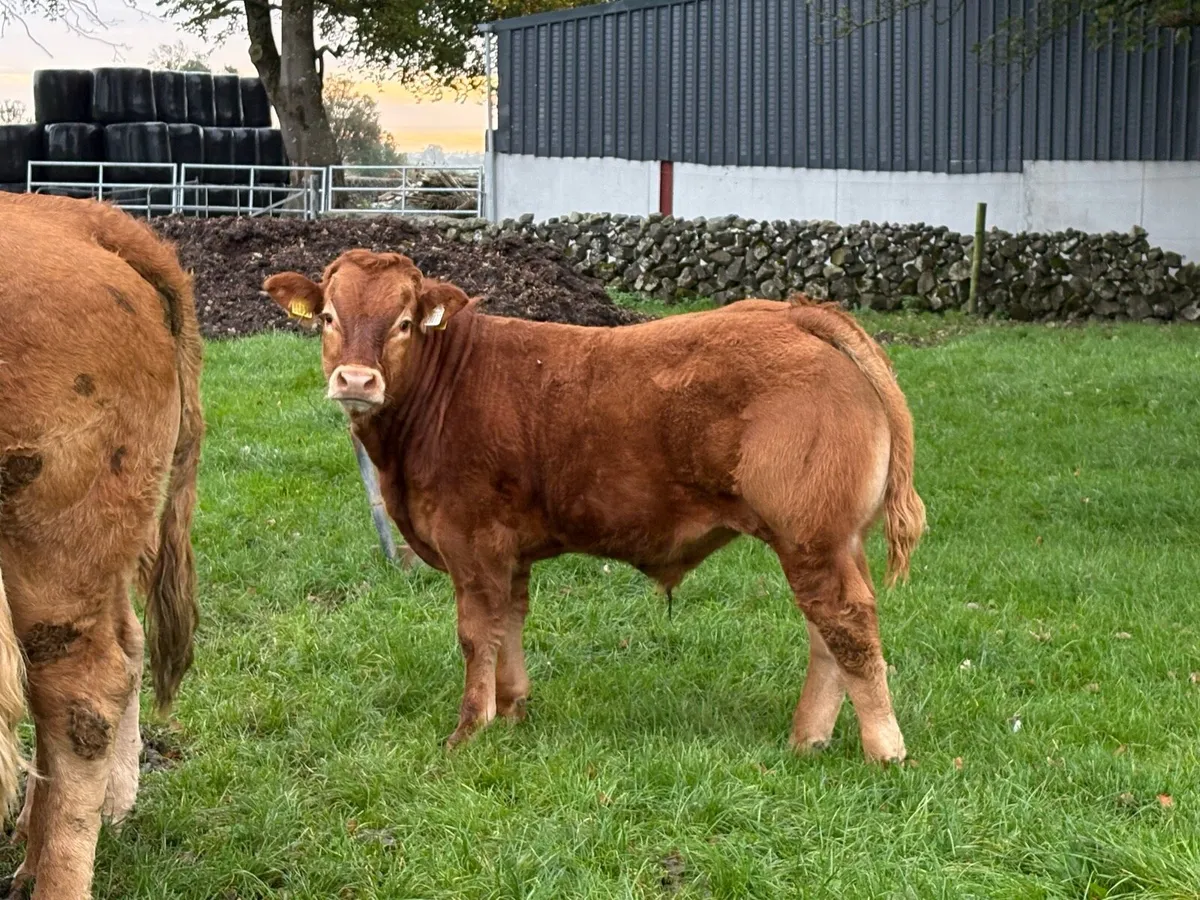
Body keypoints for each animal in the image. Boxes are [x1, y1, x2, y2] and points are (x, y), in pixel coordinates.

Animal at [264, 249, 925, 763]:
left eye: (403, 323)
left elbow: (476, 633)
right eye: (328, 317)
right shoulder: (509, 548)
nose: (356, 380)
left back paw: (884, 751)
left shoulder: (471, 541)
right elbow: (510, 622)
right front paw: (513, 709)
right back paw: (807, 739)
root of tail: (793, 312)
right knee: (825, 629)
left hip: (810, 536)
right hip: (830, 539)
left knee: (846, 624)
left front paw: (468, 730)